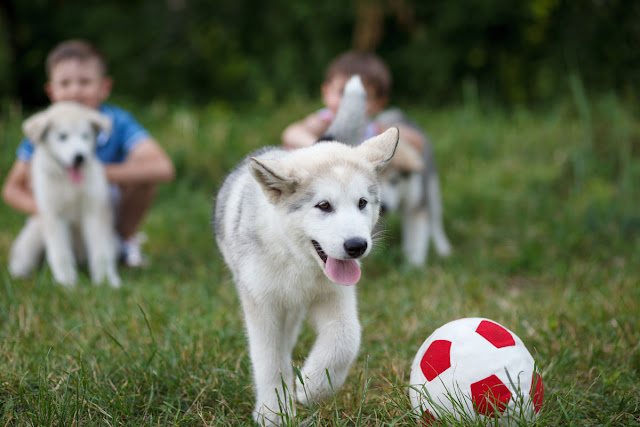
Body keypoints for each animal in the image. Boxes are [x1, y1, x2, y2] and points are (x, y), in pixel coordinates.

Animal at [9, 101, 122, 288]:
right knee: (22, 257)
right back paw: (20, 274)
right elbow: (60, 253)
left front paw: (106, 282)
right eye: (62, 137)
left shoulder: (95, 212)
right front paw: (67, 283)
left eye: (85, 136)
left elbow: (100, 251)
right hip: (33, 235)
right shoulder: (53, 216)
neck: (69, 184)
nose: (79, 157)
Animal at [212, 124, 398, 424]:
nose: (357, 246)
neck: (297, 261)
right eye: (324, 206)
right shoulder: (261, 304)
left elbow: (346, 338)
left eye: (362, 202)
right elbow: (268, 358)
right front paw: (273, 412)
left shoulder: (336, 296)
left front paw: (312, 388)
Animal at [320, 75, 450, 266]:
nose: (386, 207)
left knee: (435, 220)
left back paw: (443, 248)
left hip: (431, 189)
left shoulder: (416, 204)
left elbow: (417, 238)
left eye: (395, 181)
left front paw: (414, 266)